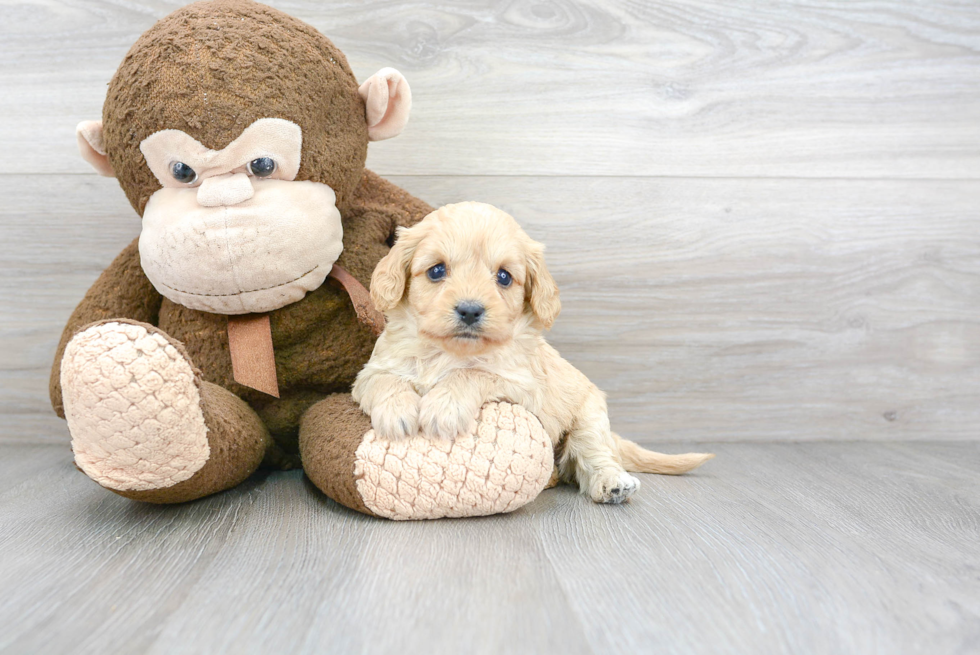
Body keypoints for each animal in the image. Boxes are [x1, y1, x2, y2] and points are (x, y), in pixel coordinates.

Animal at [352, 202, 712, 504]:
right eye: (437, 270)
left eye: (503, 277)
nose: (470, 310)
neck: (450, 351)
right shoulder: (370, 373)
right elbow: (386, 381)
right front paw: (397, 412)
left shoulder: (522, 385)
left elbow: (473, 372)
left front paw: (444, 406)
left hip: (590, 417)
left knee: (594, 456)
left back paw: (612, 484)